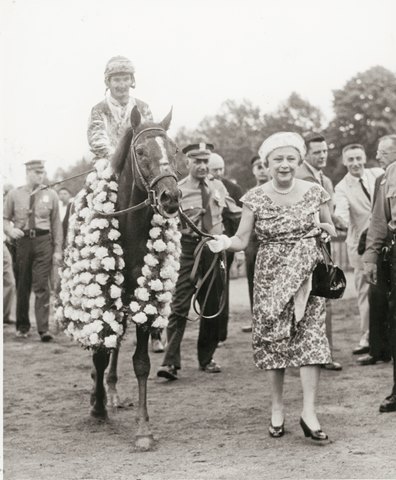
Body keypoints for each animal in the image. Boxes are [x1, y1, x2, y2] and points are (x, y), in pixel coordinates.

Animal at [89, 105, 179, 450]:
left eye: (175, 150)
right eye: (140, 151)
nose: (171, 197)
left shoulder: (145, 300)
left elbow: (141, 363)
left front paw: (143, 429)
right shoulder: (103, 298)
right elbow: (100, 353)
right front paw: (98, 408)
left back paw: (112, 391)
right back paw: (103, 395)